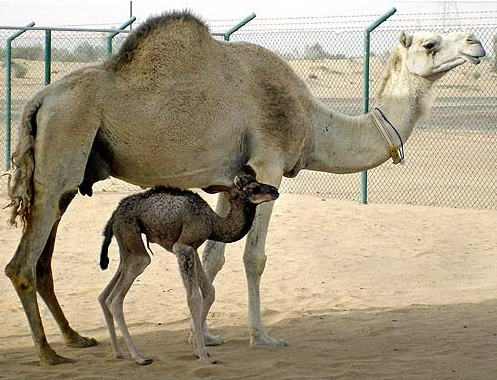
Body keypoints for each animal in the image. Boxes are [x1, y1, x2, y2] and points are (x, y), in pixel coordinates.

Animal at [4, 10, 484, 364]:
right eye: (429, 44)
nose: (476, 43)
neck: (313, 122)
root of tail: (39, 99)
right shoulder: (268, 165)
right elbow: (254, 257)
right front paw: (261, 336)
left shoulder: (226, 179)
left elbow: (213, 258)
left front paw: (205, 335)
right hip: (62, 152)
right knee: (22, 264)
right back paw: (48, 354)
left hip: (67, 176)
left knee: (43, 258)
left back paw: (74, 339)